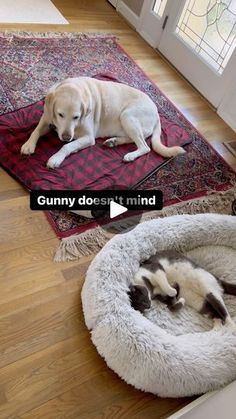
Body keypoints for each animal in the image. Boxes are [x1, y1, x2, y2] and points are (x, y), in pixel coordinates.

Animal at [20, 76, 184, 168]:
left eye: (76, 117)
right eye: (60, 115)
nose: (66, 137)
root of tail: (157, 113)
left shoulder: (88, 137)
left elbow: (68, 147)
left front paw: (56, 158)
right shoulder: (47, 117)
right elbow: (36, 130)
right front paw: (28, 145)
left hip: (127, 115)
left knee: (145, 146)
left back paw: (130, 155)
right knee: (135, 139)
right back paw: (114, 141)